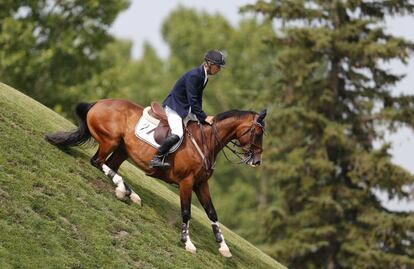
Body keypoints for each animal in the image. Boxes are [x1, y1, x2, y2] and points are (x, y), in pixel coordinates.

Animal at [44, 98, 266, 255]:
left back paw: (128, 192)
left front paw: (223, 247)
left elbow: (212, 213)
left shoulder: (201, 184)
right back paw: (124, 189)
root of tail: (99, 102)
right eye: (257, 134)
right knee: (97, 162)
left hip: (122, 149)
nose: (257, 161)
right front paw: (188, 243)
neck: (207, 141)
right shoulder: (186, 183)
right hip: (110, 141)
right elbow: (186, 212)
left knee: (109, 166)